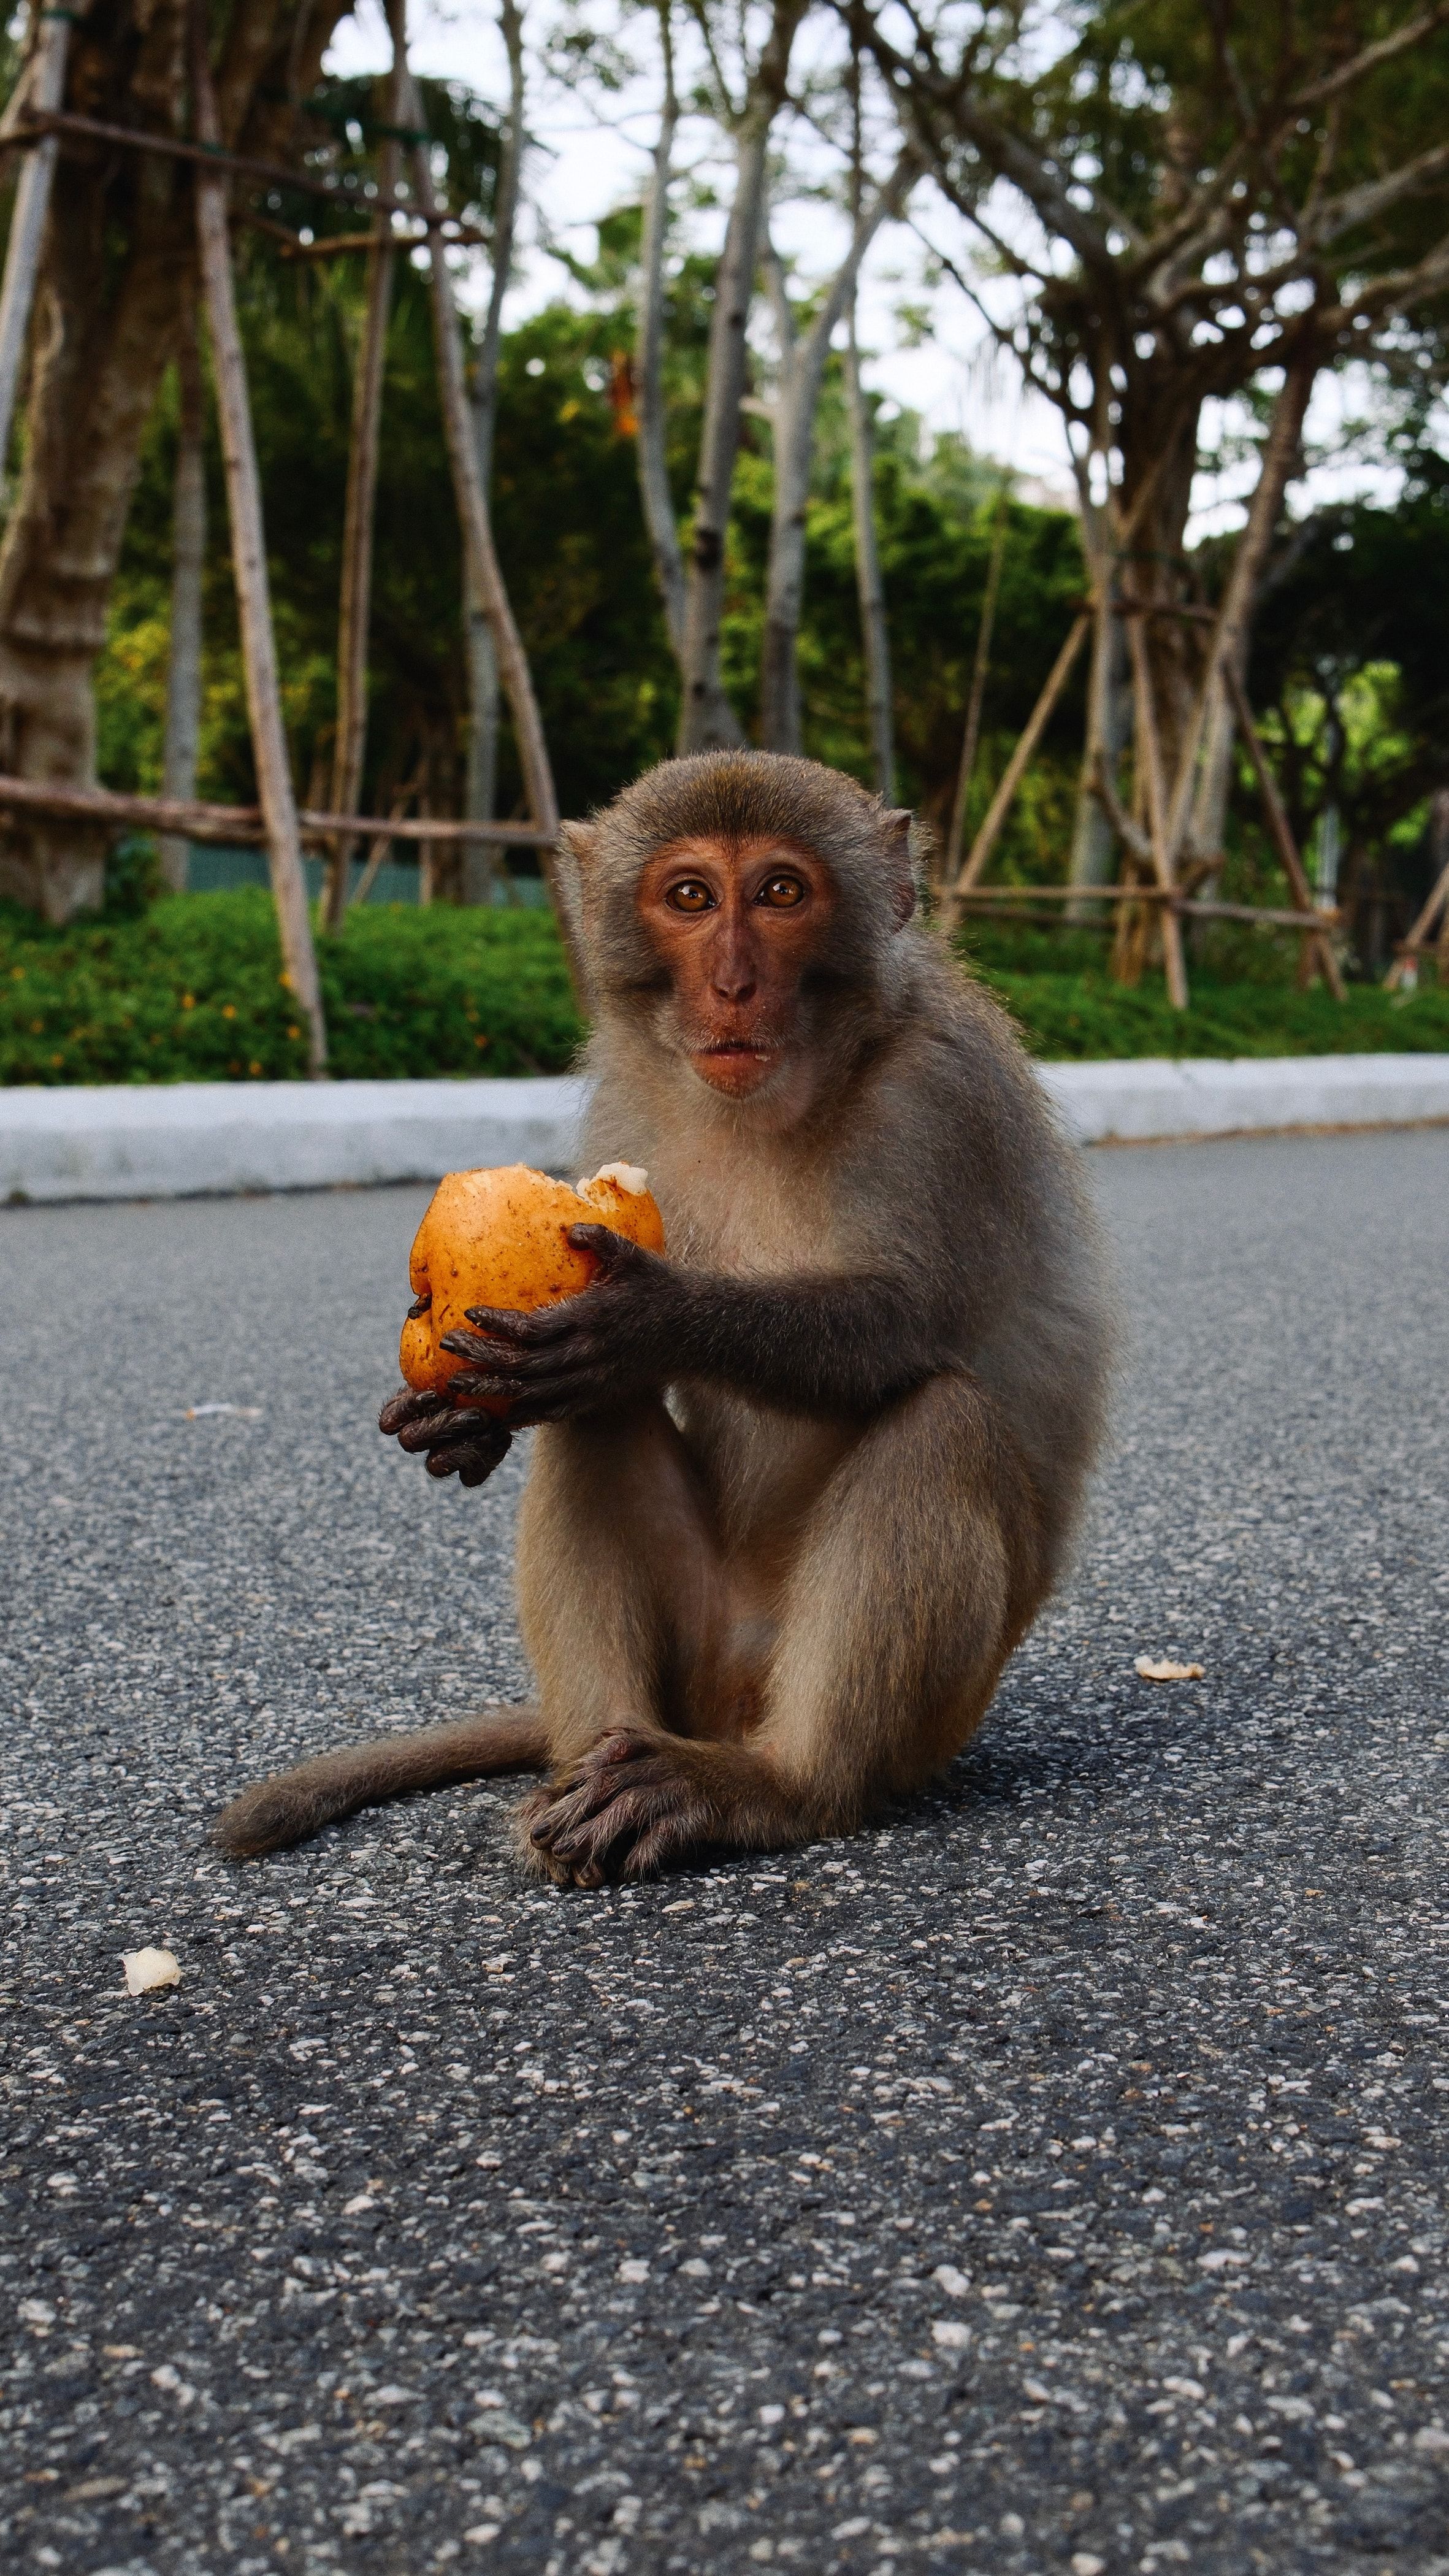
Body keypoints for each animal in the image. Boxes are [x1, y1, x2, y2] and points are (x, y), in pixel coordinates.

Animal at [215, 750, 1112, 1886]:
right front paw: (456, 1424)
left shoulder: (942, 1096)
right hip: (695, 1647)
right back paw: (590, 1770)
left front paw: (643, 1319)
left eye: (780, 892)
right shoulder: (626, 1098)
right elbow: (577, 1389)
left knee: (941, 1420)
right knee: (589, 1422)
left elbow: (900, 1323)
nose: (730, 983)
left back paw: (771, 1787)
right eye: (689, 898)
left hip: (924, 1720)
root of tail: (725, 1712)